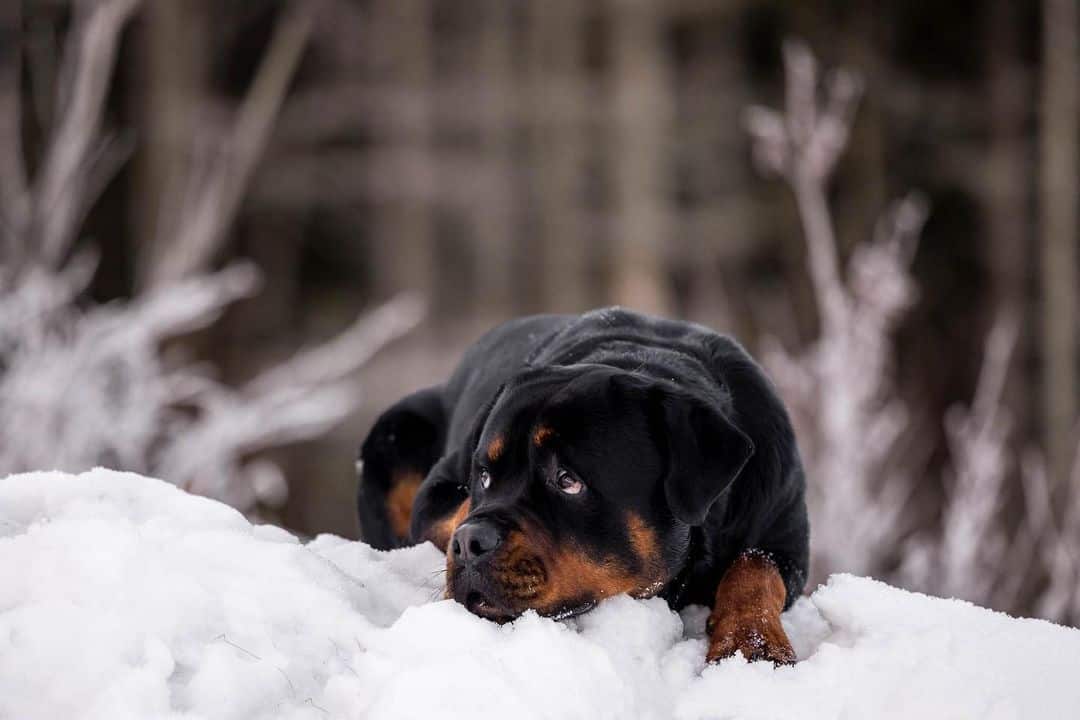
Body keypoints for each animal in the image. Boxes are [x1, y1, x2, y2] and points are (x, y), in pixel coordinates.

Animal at [358, 310, 807, 664]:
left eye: (568, 480)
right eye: (482, 477)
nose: (470, 543)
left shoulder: (783, 529)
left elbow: (757, 567)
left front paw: (753, 643)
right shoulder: (436, 494)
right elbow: (454, 511)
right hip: (394, 428)